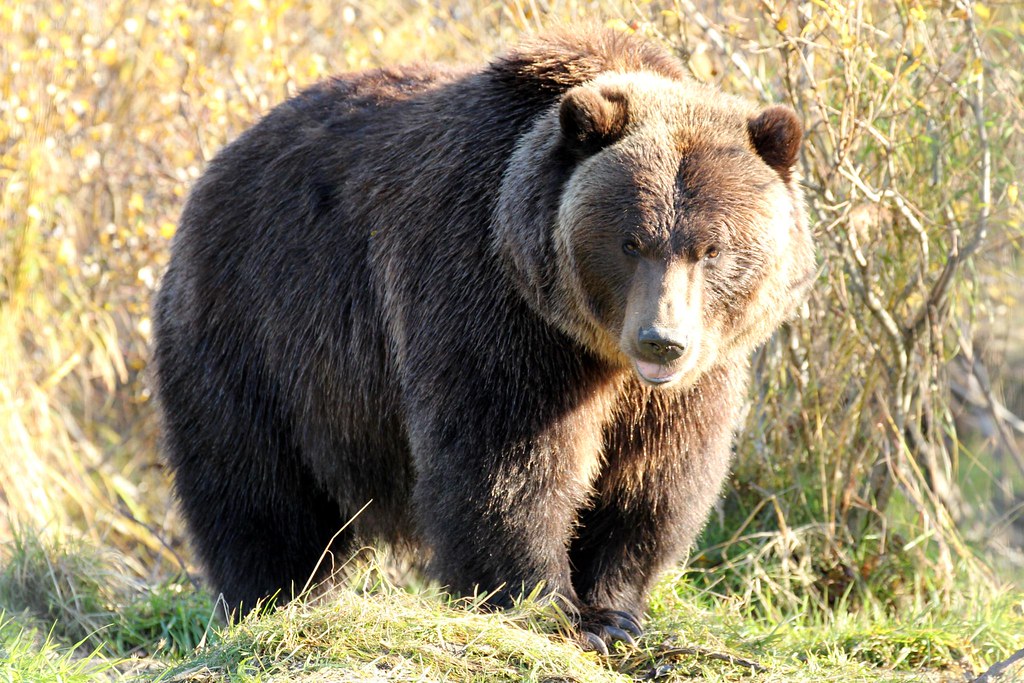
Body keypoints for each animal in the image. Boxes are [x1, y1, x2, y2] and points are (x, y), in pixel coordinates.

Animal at [152, 27, 814, 652]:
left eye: (712, 248)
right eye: (632, 241)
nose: (661, 341)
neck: (596, 348)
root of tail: (218, 165)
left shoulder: (690, 377)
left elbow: (653, 478)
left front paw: (615, 611)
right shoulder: (492, 304)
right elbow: (504, 464)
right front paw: (553, 608)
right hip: (260, 328)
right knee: (256, 487)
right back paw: (277, 602)